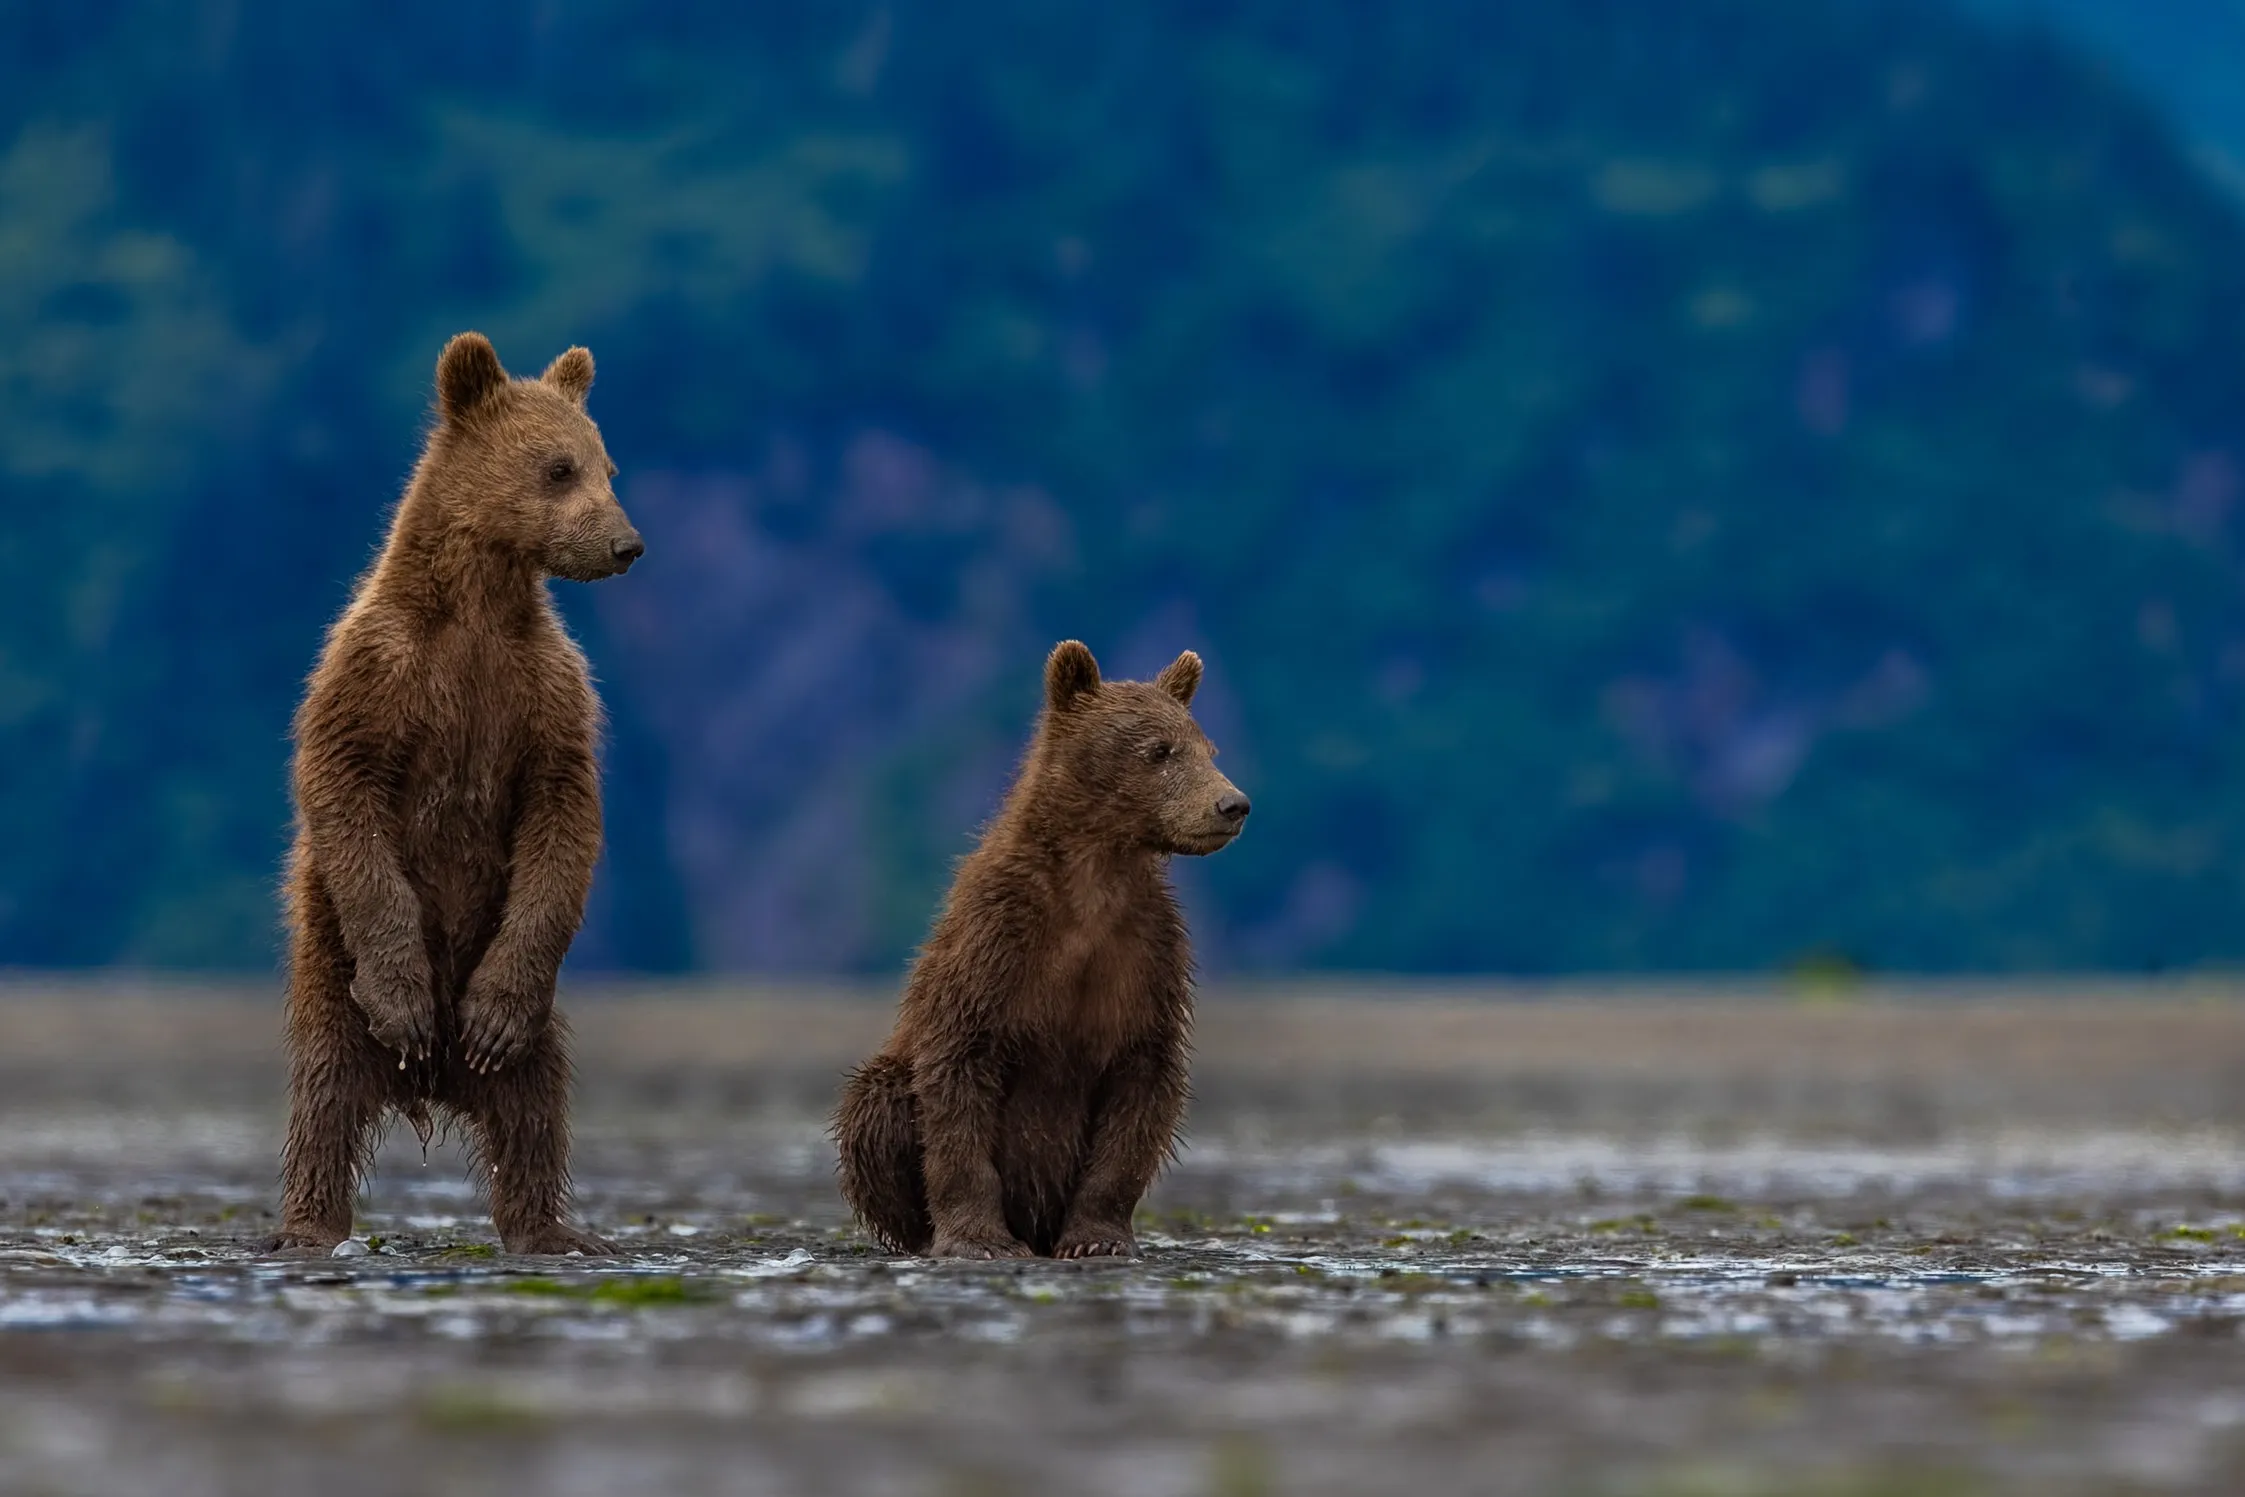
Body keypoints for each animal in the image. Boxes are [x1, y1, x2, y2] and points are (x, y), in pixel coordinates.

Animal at [266, 331, 643, 1258]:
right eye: (558, 467)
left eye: (608, 464)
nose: (626, 545)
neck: (477, 606)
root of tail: (429, 1086)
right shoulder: (378, 675)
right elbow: (345, 791)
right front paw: (403, 995)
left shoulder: (545, 694)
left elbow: (563, 815)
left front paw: (494, 1019)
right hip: (332, 978)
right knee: (325, 1095)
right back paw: (309, 1220)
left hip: (528, 1009)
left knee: (533, 1101)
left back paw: (552, 1226)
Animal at [832, 639, 1251, 1259]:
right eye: (1160, 750)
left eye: (1208, 747)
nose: (1233, 804)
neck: (1091, 882)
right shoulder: (996, 947)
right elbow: (957, 1083)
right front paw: (980, 1240)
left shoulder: (1145, 957)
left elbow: (1141, 1089)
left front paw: (1098, 1238)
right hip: (887, 1086)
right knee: (873, 1104)